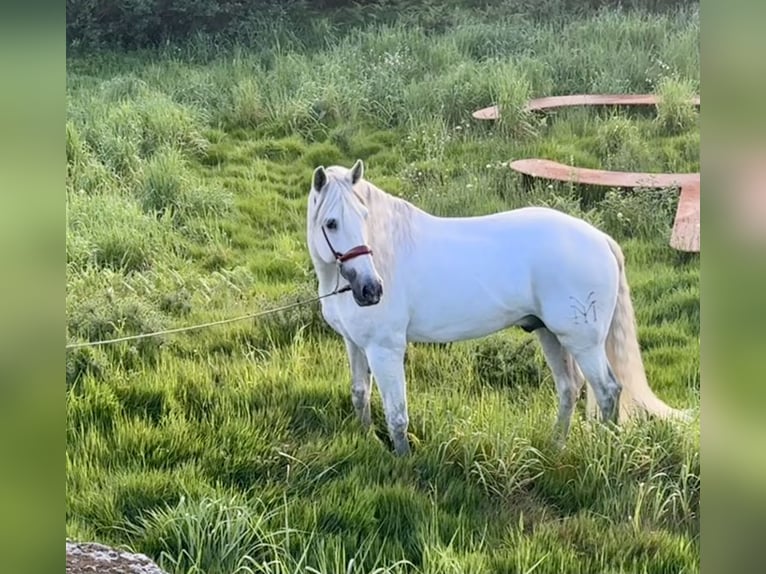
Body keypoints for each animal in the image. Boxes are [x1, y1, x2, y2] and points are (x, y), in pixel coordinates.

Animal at [306, 160, 688, 456]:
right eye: (331, 223)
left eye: (364, 216)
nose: (371, 290)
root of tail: (601, 239)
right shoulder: (355, 344)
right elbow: (360, 395)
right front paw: (367, 440)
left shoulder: (385, 348)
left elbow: (396, 414)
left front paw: (404, 463)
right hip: (551, 335)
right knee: (570, 388)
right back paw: (555, 448)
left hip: (583, 342)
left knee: (608, 391)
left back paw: (604, 453)